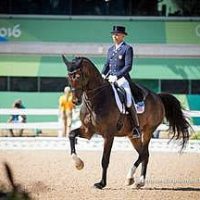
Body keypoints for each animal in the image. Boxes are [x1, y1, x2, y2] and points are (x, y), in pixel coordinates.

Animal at [61, 55, 190, 189]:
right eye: (68, 77)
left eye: (78, 76)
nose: (75, 101)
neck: (97, 99)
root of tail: (158, 97)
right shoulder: (88, 131)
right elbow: (71, 135)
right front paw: (78, 164)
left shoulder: (108, 135)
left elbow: (105, 160)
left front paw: (101, 183)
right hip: (133, 136)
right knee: (145, 154)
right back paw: (139, 182)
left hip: (148, 131)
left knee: (144, 154)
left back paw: (130, 178)